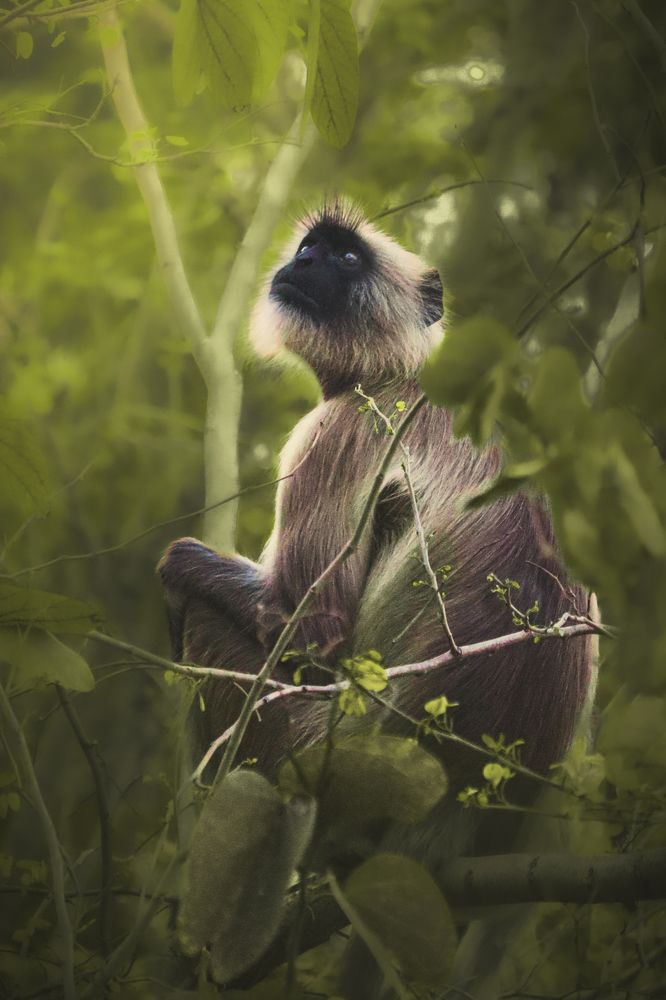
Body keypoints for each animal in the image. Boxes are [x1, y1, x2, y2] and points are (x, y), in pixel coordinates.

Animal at [158, 200, 598, 997]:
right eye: (313, 249)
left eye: (345, 259)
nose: (301, 263)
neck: (410, 371)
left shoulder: (342, 429)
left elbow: (313, 635)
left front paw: (185, 565)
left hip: (310, 763)